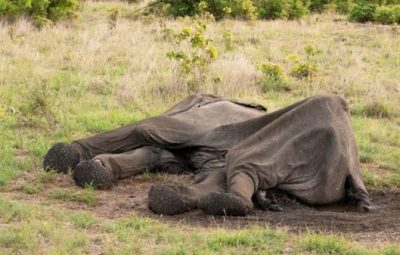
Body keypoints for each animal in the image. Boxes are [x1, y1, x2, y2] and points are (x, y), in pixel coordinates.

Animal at [43, 93, 372, 215]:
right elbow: (157, 151)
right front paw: (91, 167)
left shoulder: (201, 123)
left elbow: (147, 130)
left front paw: (70, 158)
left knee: (237, 168)